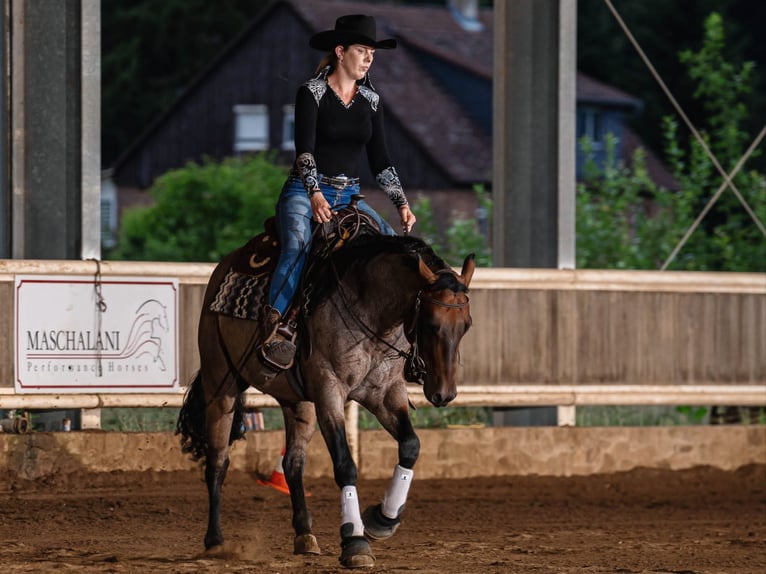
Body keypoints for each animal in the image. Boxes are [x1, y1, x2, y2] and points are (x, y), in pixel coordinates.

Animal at [178, 217, 476, 572]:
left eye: (467, 325)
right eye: (430, 323)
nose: (444, 393)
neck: (369, 308)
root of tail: (223, 268)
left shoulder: (384, 394)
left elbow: (411, 445)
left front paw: (382, 519)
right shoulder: (329, 391)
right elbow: (345, 465)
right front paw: (355, 541)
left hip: (298, 402)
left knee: (292, 464)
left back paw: (305, 536)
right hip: (221, 383)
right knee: (218, 462)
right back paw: (215, 541)